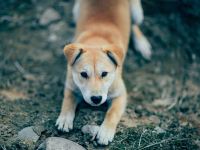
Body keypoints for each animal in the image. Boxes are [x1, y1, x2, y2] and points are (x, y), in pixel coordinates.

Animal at [55, 0, 151, 145]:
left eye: (104, 74)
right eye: (83, 74)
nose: (96, 99)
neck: (96, 41)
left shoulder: (121, 95)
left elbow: (112, 113)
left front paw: (105, 131)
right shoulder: (70, 85)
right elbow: (68, 100)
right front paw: (65, 118)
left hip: (137, 13)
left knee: (134, 25)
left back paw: (142, 44)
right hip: (76, 10)